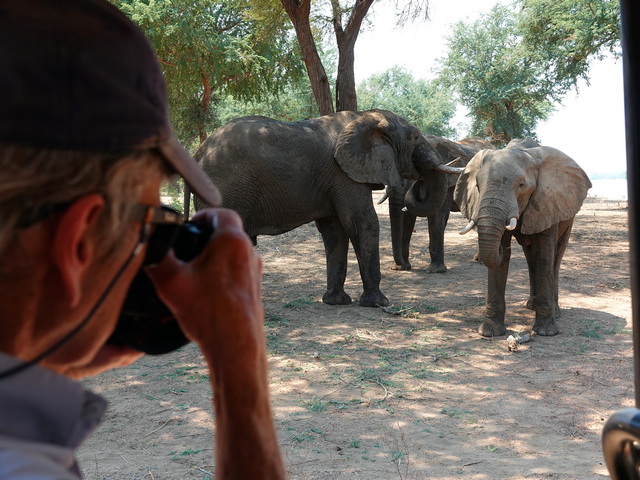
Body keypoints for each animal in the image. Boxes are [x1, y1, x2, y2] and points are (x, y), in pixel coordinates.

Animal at [189, 109, 462, 307]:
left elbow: (336, 232)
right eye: (415, 137)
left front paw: (336, 302)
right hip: (225, 191)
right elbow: (363, 223)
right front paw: (379, 303)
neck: (366, 117)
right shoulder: (344, 175)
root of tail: (198, 153)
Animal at [383, 135, 495, 272]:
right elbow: (407, 218)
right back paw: (478, 258)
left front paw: (436, 270)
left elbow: (437, 215)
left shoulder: (447, 182)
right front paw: (401, 268)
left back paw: (482, 260)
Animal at [453, 139, 592, 336]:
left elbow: (544, 256)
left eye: (521, 185)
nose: (501, 247)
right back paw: (531, 306)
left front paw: (546, 332)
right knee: (530, 257)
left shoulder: (548, 201)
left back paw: (555, 311)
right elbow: (502, 262)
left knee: (555, 258)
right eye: (478, 186)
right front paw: (490, 333)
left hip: (568, 215)